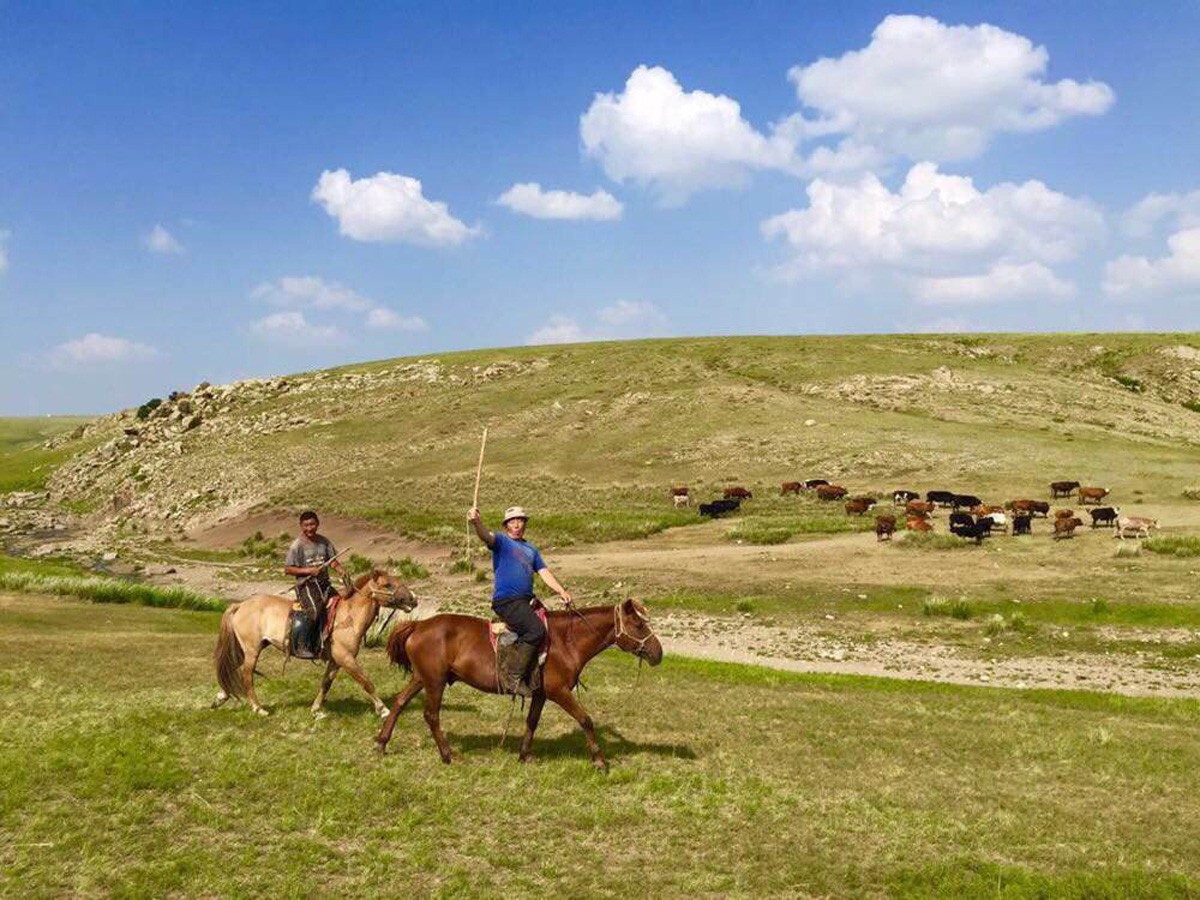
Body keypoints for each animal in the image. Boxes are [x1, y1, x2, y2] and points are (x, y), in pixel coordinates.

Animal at [214, 571, 417, 720]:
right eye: (388, 585)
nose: (413, 599)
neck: (348, 617)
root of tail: (240, 605)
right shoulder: (346, 659)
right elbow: (366, 682)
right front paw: (383, 710)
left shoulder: (336, 661)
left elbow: (325, 684)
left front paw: (316, 709)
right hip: (252, 650)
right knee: (246, 675)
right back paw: (258, 708)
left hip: (247, 649)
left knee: (230, 668)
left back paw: (221, 697)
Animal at [374, 602, 662, 772]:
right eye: (638, 624)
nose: (658, 652)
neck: (566, 641)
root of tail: (419, 625)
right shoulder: (559, 692)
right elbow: (585, 719)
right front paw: (599, 760)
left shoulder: (541, 694)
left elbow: (532, 722)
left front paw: (524, 755)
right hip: (435, 681)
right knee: (431, 715)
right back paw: (448, 755)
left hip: (421, 678)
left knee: (399, 703)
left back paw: (382, 743)